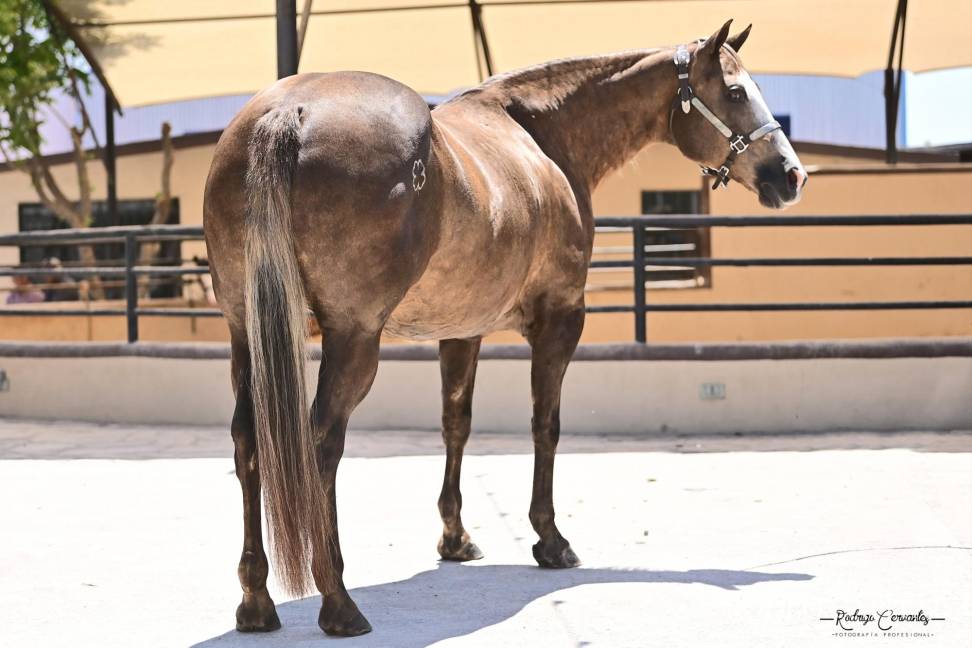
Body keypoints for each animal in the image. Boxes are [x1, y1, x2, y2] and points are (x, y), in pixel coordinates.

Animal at [203, 20, 804, 636]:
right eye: (736, 91)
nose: (791, 175)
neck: (544, 137)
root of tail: (289, 113)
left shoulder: (461, 331)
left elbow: (456, 424)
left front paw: (454, 537)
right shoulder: (560, 318)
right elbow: (546, 425)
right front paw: (550, 538)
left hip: (246, 335)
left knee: (248, 442)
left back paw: (256, 600)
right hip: (354, 341)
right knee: (321, 445)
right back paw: (338, 601)